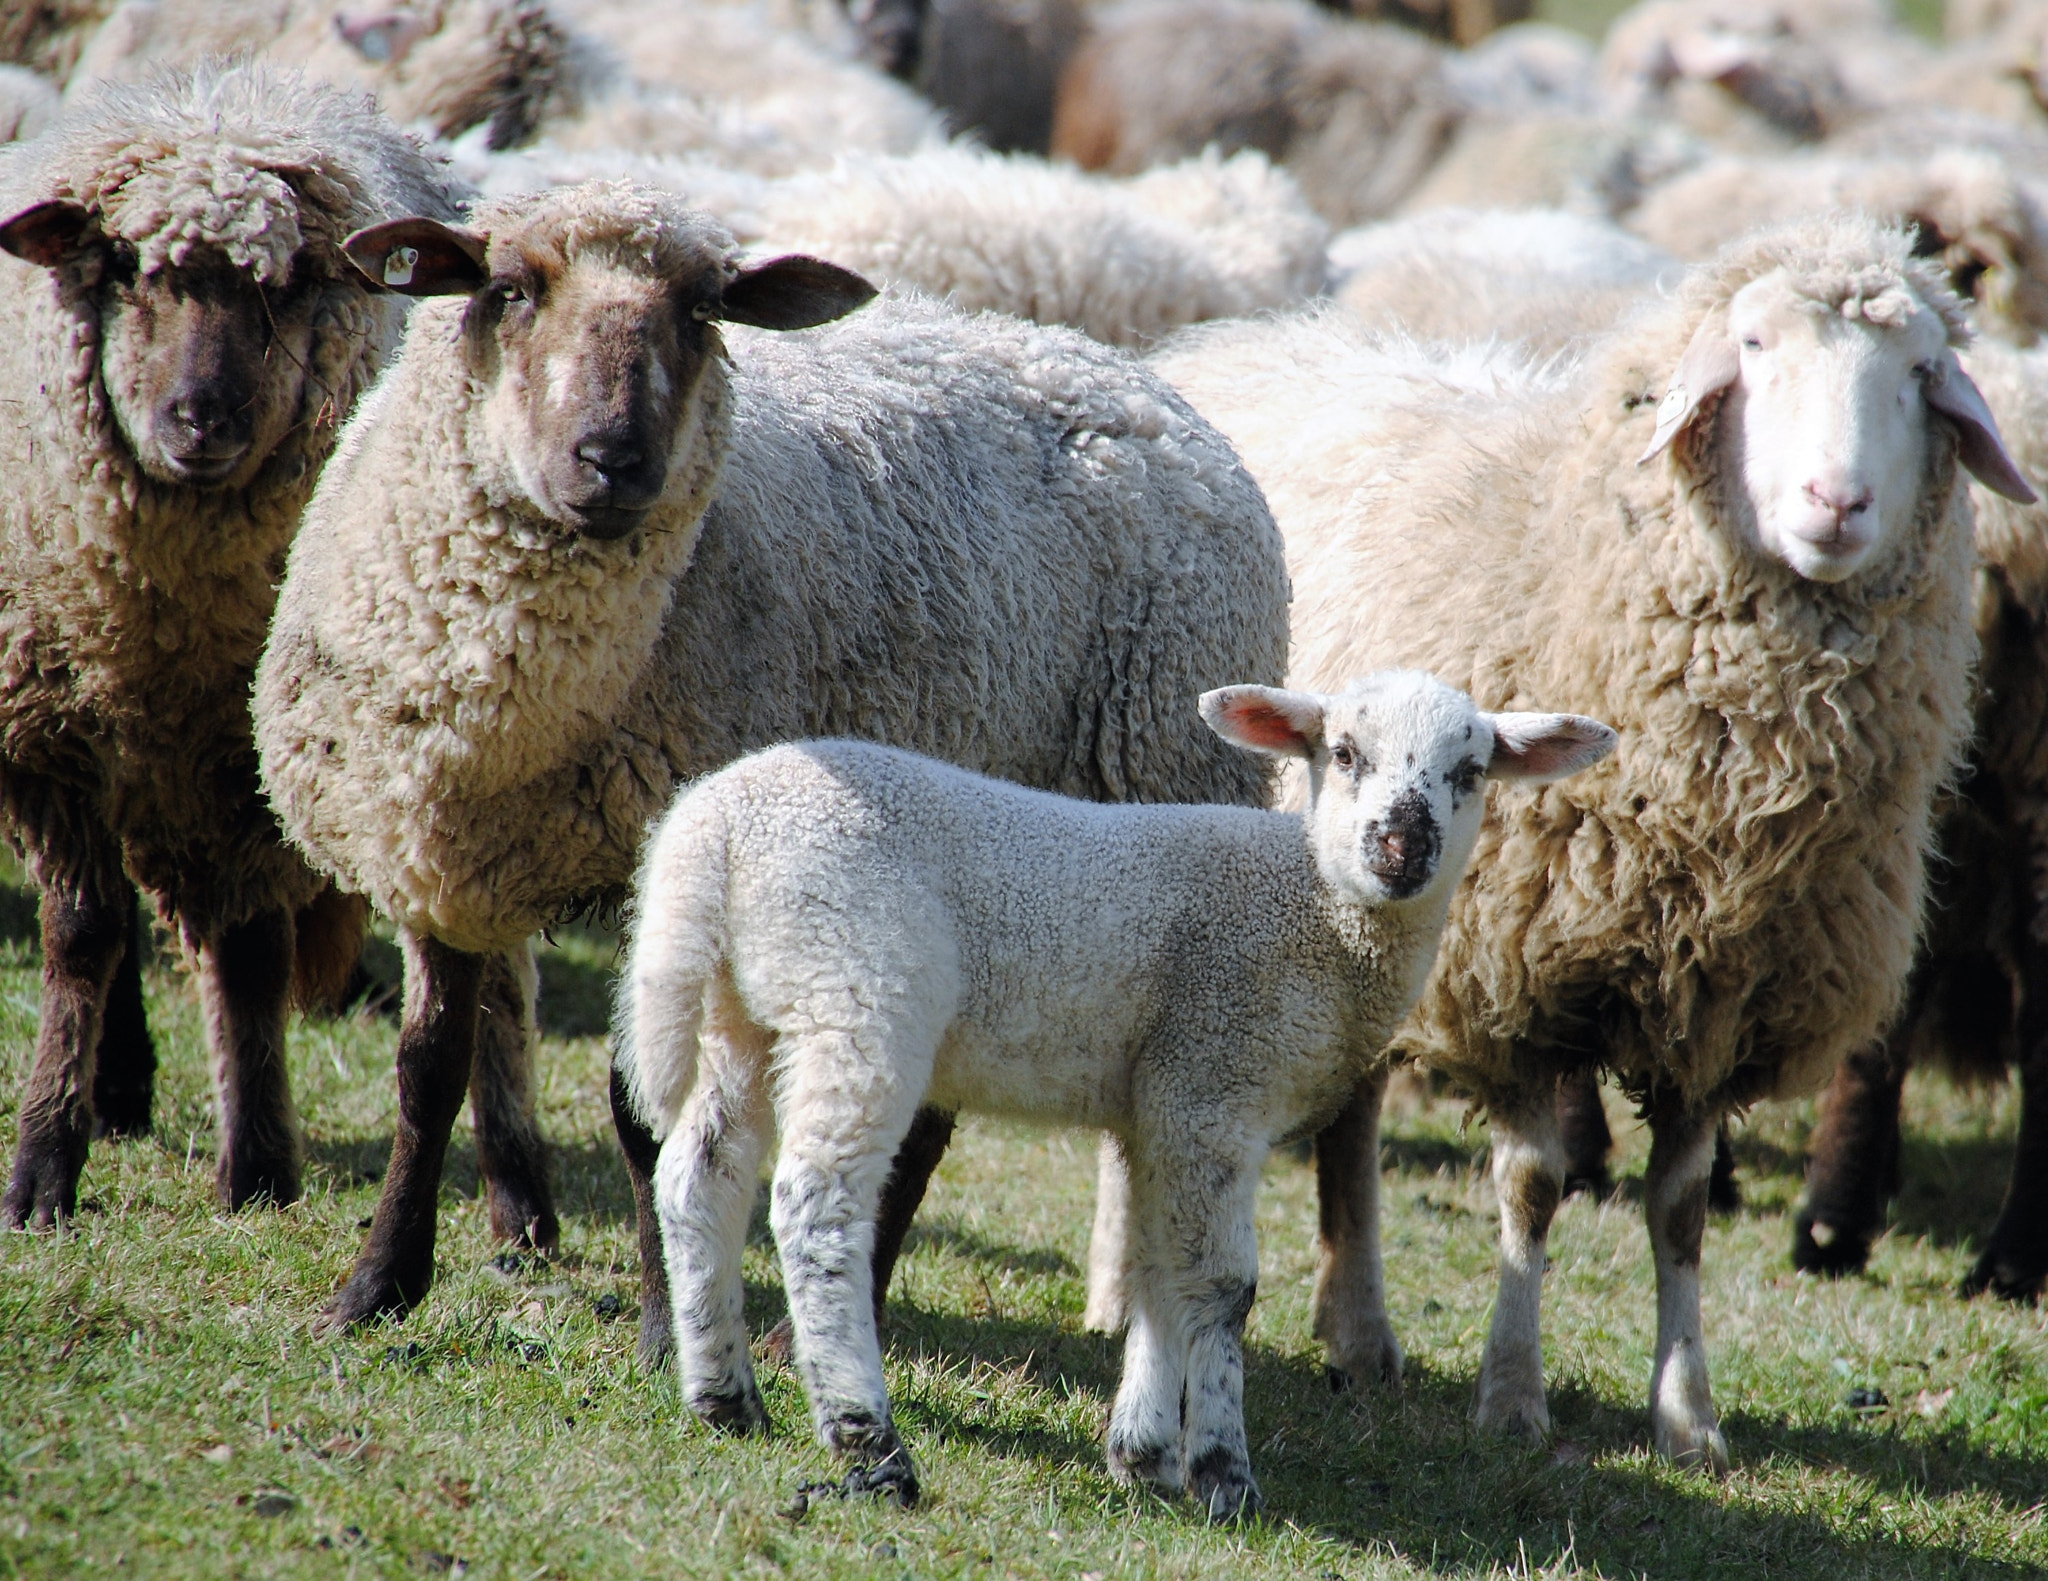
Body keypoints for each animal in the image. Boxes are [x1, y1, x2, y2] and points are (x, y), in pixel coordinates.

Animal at [0, 62, 476, 1228]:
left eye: (292, 283)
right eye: (127, 268)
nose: (200, 420)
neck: (169, 622)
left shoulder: (243, 752)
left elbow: (253, 951)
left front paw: (258, 1161)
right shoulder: (47, 732)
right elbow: (79, 933)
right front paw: (44, 1159)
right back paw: (117, 1084)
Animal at [248, 180, 1292, 1336]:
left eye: (703, 310)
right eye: (509, 288)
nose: (613, 459)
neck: (514, 726)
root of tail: (1132, 372)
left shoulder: (660, 858)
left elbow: (638, 1106)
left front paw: (669, 1326)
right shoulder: (430, 853)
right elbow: (426, 1071)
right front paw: (375, 1287)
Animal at [616, 678, 1616, 1518]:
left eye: (1470, 770)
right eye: (1342, 752)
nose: (1401, 847)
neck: (1315, 912)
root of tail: (710, 829)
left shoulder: (1159, 1104)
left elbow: (1152, 1272)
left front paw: (1142, 1455)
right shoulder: (1214, 1079)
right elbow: (1221, 1287)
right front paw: (1222, 1471)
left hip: (742, 1007)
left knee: (701, 1174)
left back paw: (724, 1398)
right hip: (858, 988)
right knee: (814, 1206)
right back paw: (870, 1442)